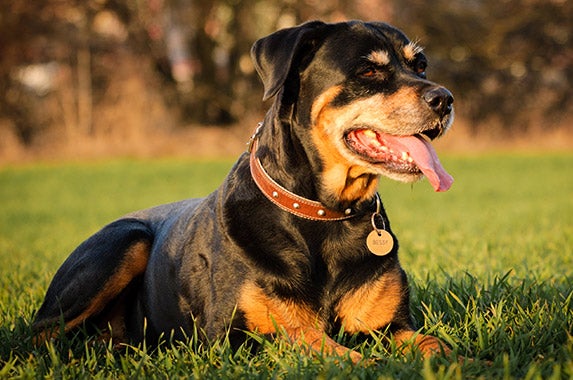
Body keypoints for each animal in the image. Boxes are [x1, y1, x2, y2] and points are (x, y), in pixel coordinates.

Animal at [34, 20, 456, 362]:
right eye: (369, 69)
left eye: (420, 65)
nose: (445, 99)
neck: (324, 213)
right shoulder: (237, 337)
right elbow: (315, 342)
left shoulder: (390, 325)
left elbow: (434, 343)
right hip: (122, 242)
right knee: (40, 334)